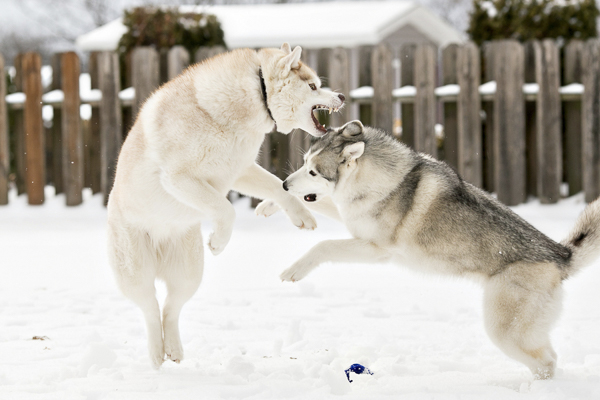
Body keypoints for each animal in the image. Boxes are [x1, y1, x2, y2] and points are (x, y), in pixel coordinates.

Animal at [276, 120, 600, 380]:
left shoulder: (375, 250)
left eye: (314, 172)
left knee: (547, 362)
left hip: (504, 330)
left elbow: (323, 245)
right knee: (549, 357)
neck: (384, 180)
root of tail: (560, 255)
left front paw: (293, 270)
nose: (285, 185)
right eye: (304, 163)